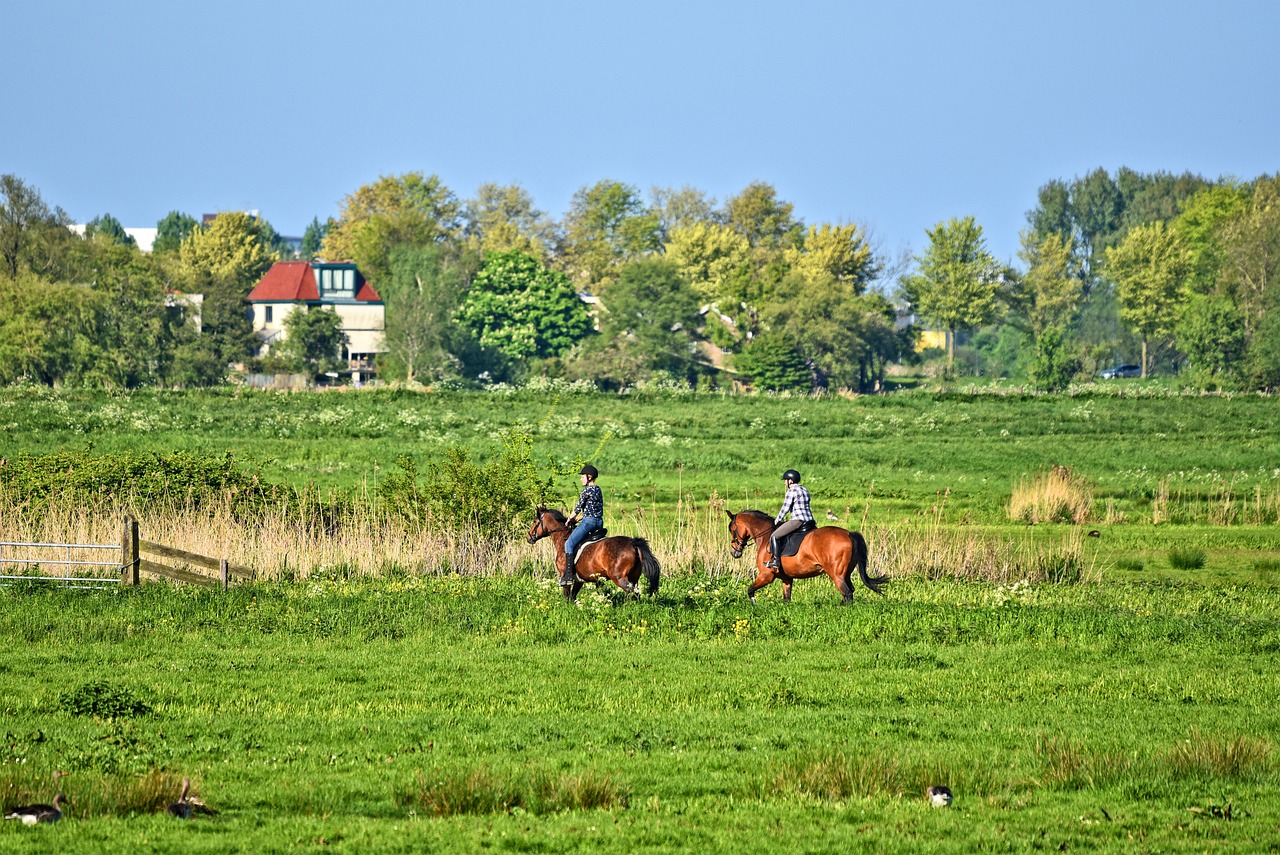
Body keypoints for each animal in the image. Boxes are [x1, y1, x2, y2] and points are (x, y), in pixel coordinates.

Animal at [524, 506, 660, 601]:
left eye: (535, 521)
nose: (528, 537)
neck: (563, 538)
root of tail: (634, 543)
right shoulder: (579, 580)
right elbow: (572, 597)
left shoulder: (565, 576)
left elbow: (566, 596)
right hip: (634, 577)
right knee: (636, 594)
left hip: (619, 577)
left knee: (630, 593)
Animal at [727, 511, 885, 604]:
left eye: (732, 529)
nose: (735, 552)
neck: (766, 536)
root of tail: (849, 534)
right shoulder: (786, 578)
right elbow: (786, 599)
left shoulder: (766, 575)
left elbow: (750, 590)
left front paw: (755, 606)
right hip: (846, 573)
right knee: (849, 592)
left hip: (836, 575)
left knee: (847, 594)